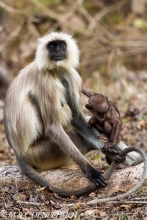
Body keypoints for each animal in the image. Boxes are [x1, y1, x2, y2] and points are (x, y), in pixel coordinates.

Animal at [4, 31, 123, 197]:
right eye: (52, 46)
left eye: (61, 45)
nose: (58, 51)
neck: (54, 70)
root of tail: (18, 153)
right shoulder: (45, 81)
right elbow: (53, 126)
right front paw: (90, 171)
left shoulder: (69, 75)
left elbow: (77, 117)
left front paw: (109, 148)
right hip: (40, 153)